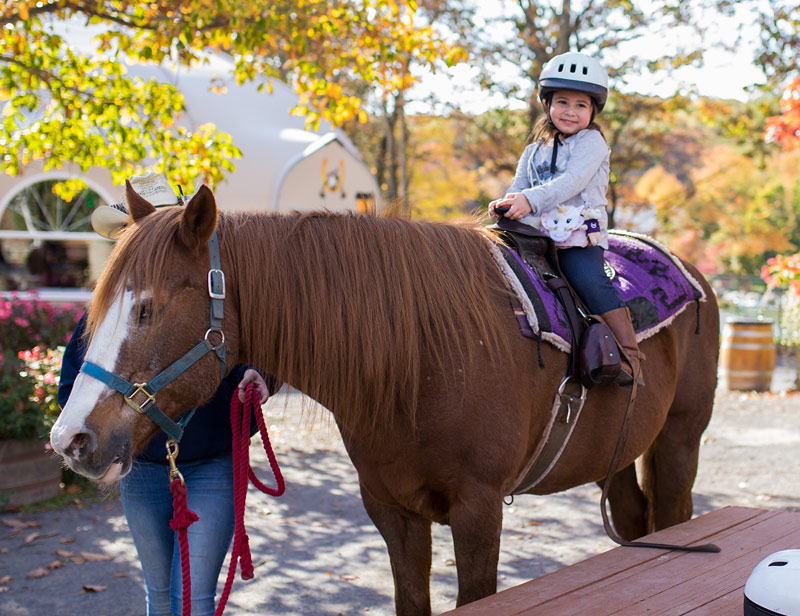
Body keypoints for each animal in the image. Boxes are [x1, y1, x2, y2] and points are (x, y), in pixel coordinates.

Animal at [53, 186, 720, 616]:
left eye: (148, 309)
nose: (70, 439)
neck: (426, 355)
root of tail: (691, 275)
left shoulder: (479, 511)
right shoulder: (392, 511)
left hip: (678, 443)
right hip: (617, 455)